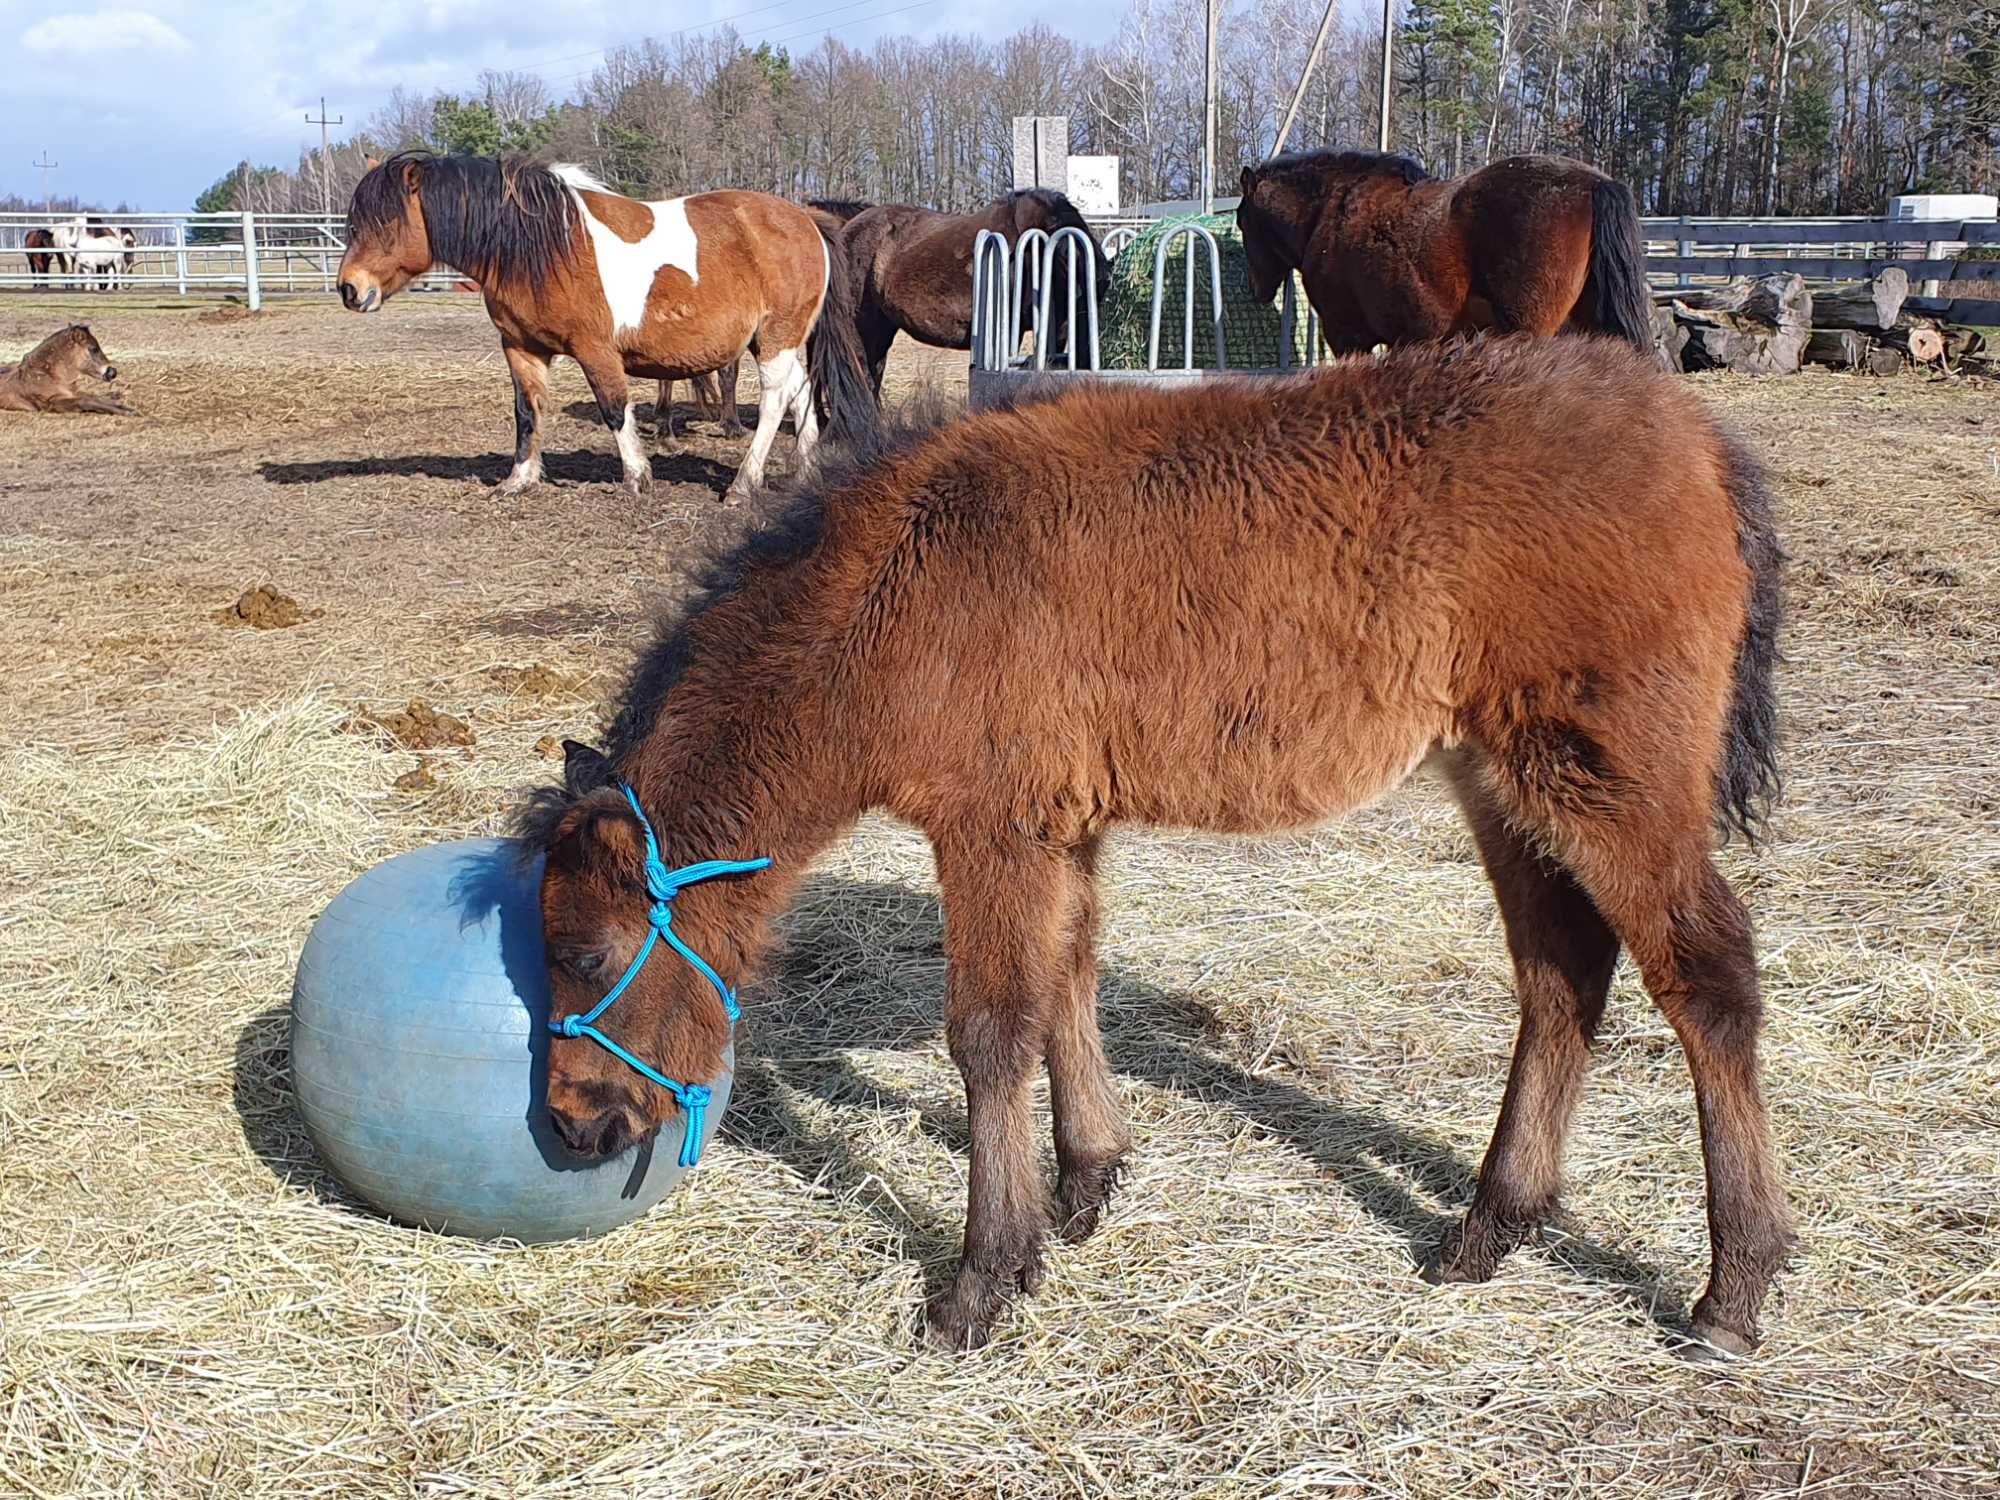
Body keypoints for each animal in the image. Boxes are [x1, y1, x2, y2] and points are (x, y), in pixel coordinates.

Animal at [0, 326, 131, 414]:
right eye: (93, 349)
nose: (112, 372)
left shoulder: (73, 392)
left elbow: (94, 398)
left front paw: (124, 407)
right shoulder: (51, 403)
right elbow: (84, 401)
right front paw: (126, 411)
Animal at [336, 156, 876, 502]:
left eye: (385, 223)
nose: (349, 288)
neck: (543, 245)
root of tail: (803, 219)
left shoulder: (595, 351)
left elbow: (615, 409)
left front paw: (637, 478)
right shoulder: (521, 348)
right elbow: (527, 412)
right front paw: (519, 479)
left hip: (774, 341)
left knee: (773, 402)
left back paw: (743, 484)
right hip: (780, 341)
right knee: (800, 394)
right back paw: (803, 472)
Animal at [524, 338, 1792, 1360]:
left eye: (584, 957)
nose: (572, 1124)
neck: (894, 580)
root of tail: (1693, 435)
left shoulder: (990, 826)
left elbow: (989, 1033)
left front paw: (980, 1281)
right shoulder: (1062, 826)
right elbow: (1066, 985)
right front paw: (1083, 1185)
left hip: (1608, 780)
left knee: (1705, 975)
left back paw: (1729, 1291)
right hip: (1502, 777)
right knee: (1560, 974)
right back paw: (1485, 1231)